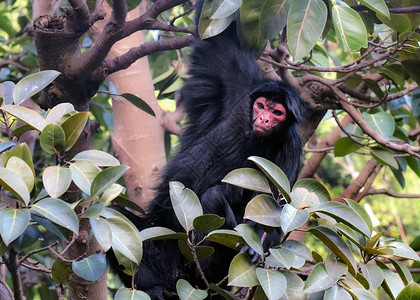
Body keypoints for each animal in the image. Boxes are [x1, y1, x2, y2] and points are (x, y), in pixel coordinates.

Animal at [110, 6, 308, 300]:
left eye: (277, 113)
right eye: (261, 106)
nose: (263, 119)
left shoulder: (292, 147)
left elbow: (277, 211)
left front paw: (253, 243)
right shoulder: (240, 83)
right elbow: (220, 37)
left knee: (214, 197)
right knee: (113, 214)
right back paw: (154, 288)